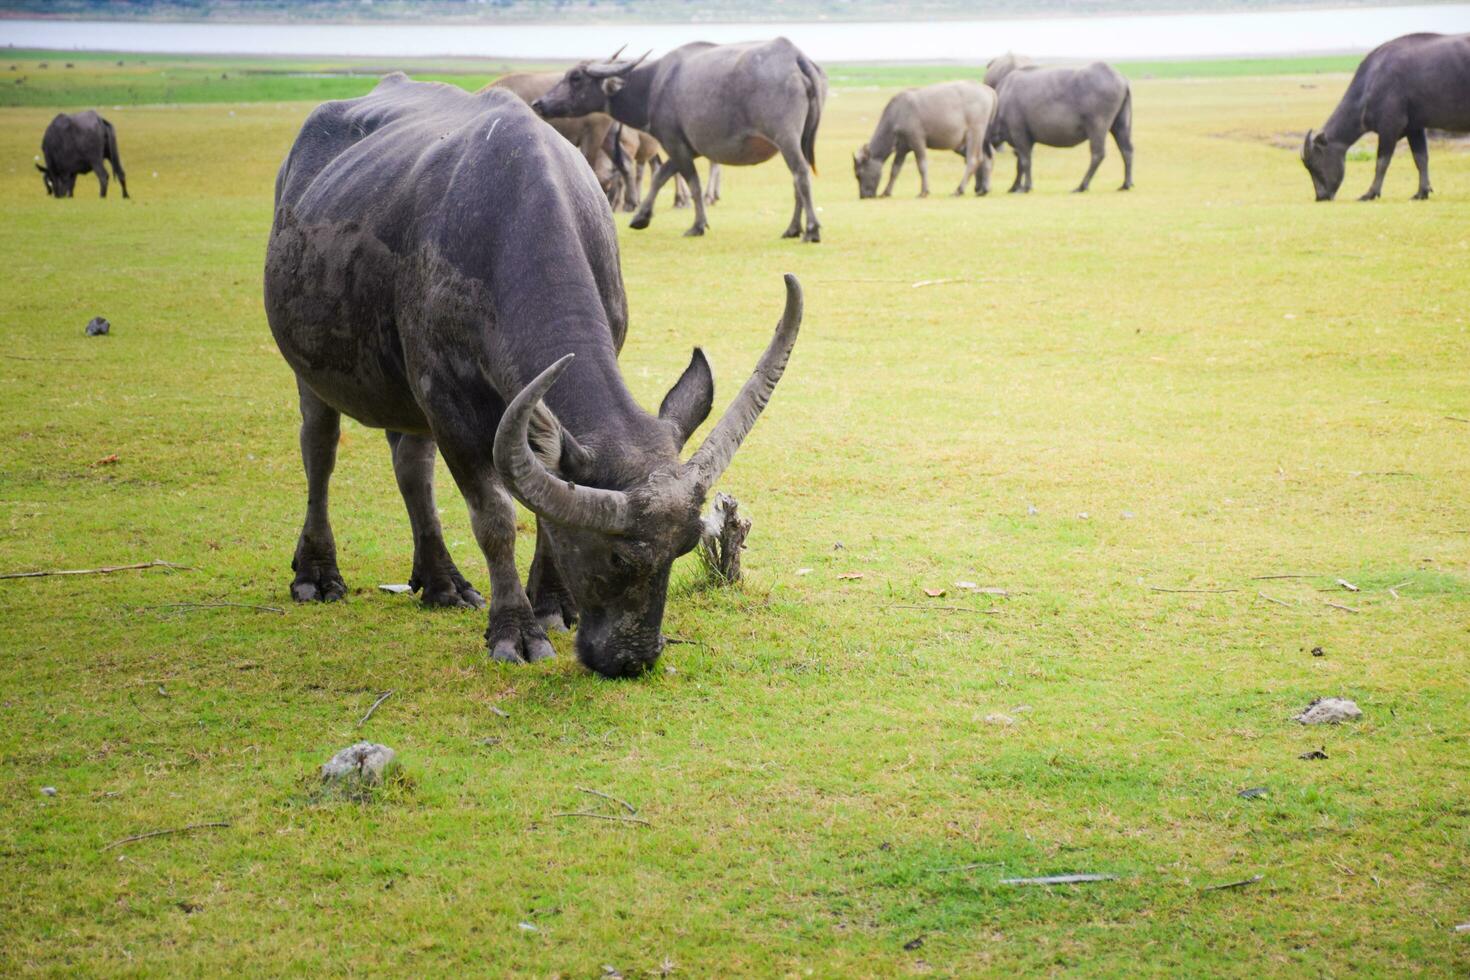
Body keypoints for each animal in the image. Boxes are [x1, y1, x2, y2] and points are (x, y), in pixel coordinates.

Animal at [261, 74, 805, 675]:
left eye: (683, 548)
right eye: (617, 557)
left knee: (411, 467)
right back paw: (317, 572)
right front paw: (516, 630)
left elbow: (544, 507)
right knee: (320, 449)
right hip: (312, 371)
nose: (630, 658)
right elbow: (495, 516)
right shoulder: (446, 401)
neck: (506, 225)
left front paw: (553, 606)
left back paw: (442, 582)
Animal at [529, 40, 829, 243]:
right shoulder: (686, 147)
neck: (653, 85)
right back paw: (793, 228)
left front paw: (698, 225)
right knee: (797, 180)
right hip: (800, 140)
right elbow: (661, 174)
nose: (539, 103)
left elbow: (691, 183)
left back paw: (811, 230)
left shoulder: (675, 143)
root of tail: (795, 56)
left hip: (786, 137)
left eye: (575, 77)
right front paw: (641, 217)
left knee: (800, 174)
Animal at [852, 79, 999, 198]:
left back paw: (959, 190)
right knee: (987, 157)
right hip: (982, 137)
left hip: (975, 132)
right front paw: (886, 192)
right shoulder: (902, 148)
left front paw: (924, 191)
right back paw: (984, 189)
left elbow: (922, 165)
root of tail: (989, 90)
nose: (863, 196)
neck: (896, 114)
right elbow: (895, 169)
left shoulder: (917, 140)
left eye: (858, 174)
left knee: (974, 159)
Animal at [987, 60, 1134, 193]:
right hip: (1120, 125)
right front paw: (1015, 186)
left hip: (1097, 127)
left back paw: (1082, 186)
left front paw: (1026, 187)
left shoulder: (1020, 135)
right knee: (1126, 150)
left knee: (1098, 154)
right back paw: (1126, 184)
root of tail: (1122, 79)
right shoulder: (1024, 140)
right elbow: (1020, 164)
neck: (1000, 103)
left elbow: (1025, 161)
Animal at [1305, 32, 1464, 201]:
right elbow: (1421, 158)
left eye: (1314, 165)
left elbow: (1381, 161)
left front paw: (1371, 193)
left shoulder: (1390, 126)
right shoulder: (1415, 128)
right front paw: (1422, 192)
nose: (1320, 197)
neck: (1372, 82)